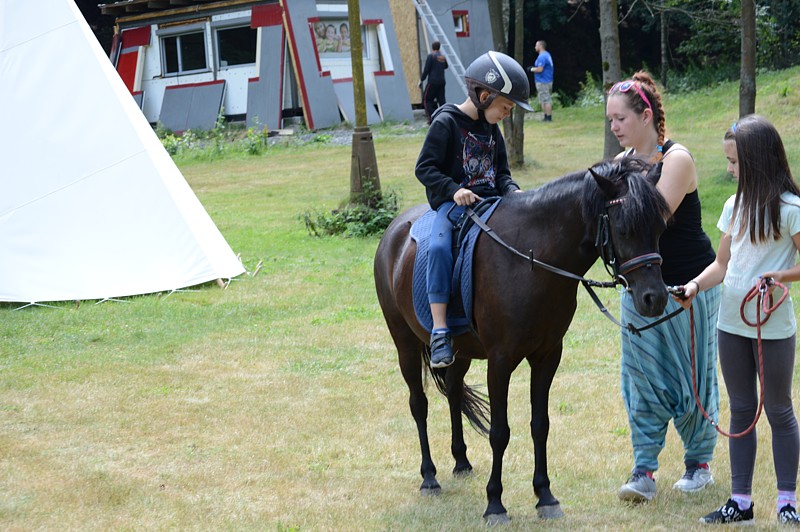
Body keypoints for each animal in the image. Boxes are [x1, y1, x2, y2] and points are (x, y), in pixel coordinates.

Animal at [372, 158, 672, 524]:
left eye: (660, 228)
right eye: (625, 228)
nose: (654, 298)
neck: (532, 261)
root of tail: (394, 231)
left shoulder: (547, 356)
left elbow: (540, 425)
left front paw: (545, 496)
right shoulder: (500, 361)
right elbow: (500, 432)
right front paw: (495, 503)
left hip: (461, 352)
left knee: (454, 393)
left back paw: (461, 461)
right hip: (405, 344)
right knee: (419, 404)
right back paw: (429, 476)